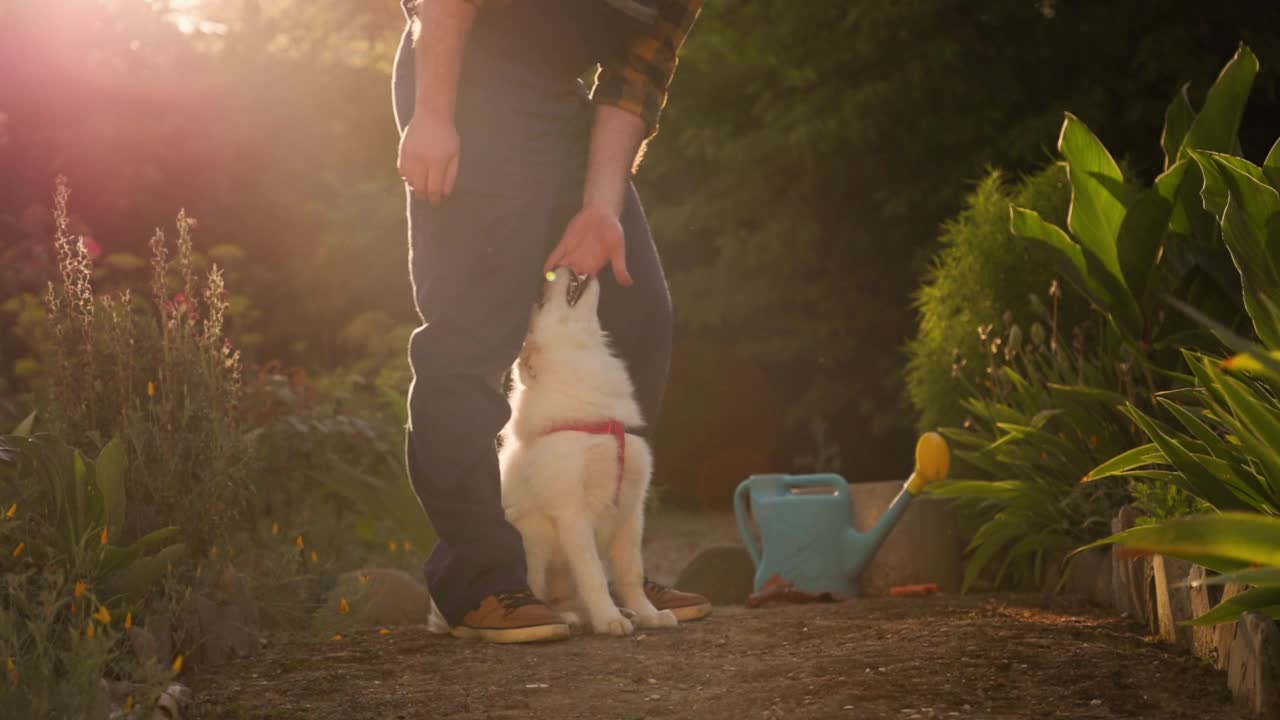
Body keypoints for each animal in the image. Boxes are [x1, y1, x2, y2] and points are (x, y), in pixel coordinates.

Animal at [496, 269, 680, 632]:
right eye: (540, 301)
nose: (550, 271)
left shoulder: (632, 508)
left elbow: (630, 572)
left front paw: (648, 613)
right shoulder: (572, 512)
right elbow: (593, 573)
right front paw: (608, 620)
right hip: (534, 537)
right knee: (540, 592)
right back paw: (564, 618)